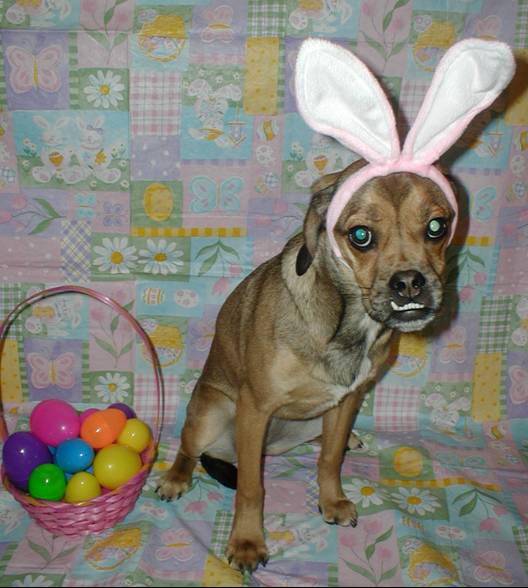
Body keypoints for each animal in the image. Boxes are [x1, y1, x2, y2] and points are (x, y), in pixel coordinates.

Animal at [156, 158, 454, 571]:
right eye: (360, 235)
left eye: (436, 227)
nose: (409, 283)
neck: (347, 322)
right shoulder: (255, 408)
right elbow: (251, 487)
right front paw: (247, 541)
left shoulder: (347, 400)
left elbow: (328, 459)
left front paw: (332, 501)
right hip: (211, 413)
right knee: (187, 449)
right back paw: (175, 478)